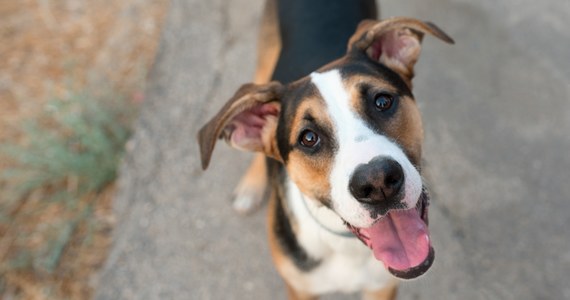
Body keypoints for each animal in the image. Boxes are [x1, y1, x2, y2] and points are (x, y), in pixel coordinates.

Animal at [197, 0, 450, 298]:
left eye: (383, 101)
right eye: (308, 138)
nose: (377, 182)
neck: (345, 244)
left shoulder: (382, 287)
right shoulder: (300, 287)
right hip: (264, 64)